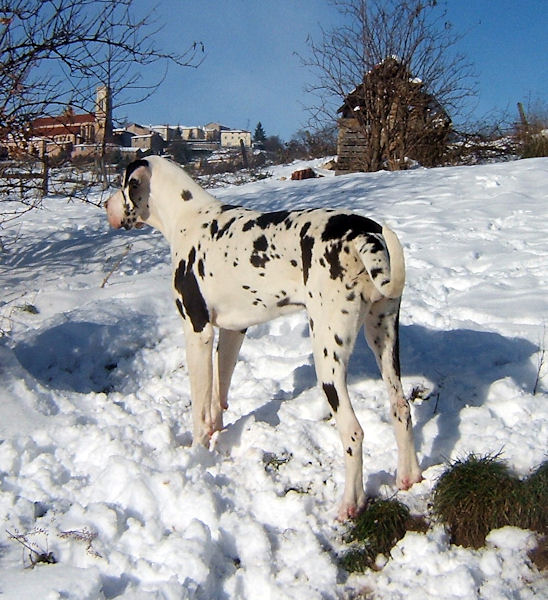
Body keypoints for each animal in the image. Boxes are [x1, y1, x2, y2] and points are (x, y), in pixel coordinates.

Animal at [107, 157, 424, 516]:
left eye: (120, 184)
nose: (106, 206)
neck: (188, 217)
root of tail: (365, 231)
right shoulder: (233, 331)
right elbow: (219, 394)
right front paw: (218, 434)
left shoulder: (198, 333)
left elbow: (200, 406)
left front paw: (198, 453)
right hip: (383, 338)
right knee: (401, 408)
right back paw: (409, 476)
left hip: (328, 358)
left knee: (353, 432)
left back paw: (350, 503)